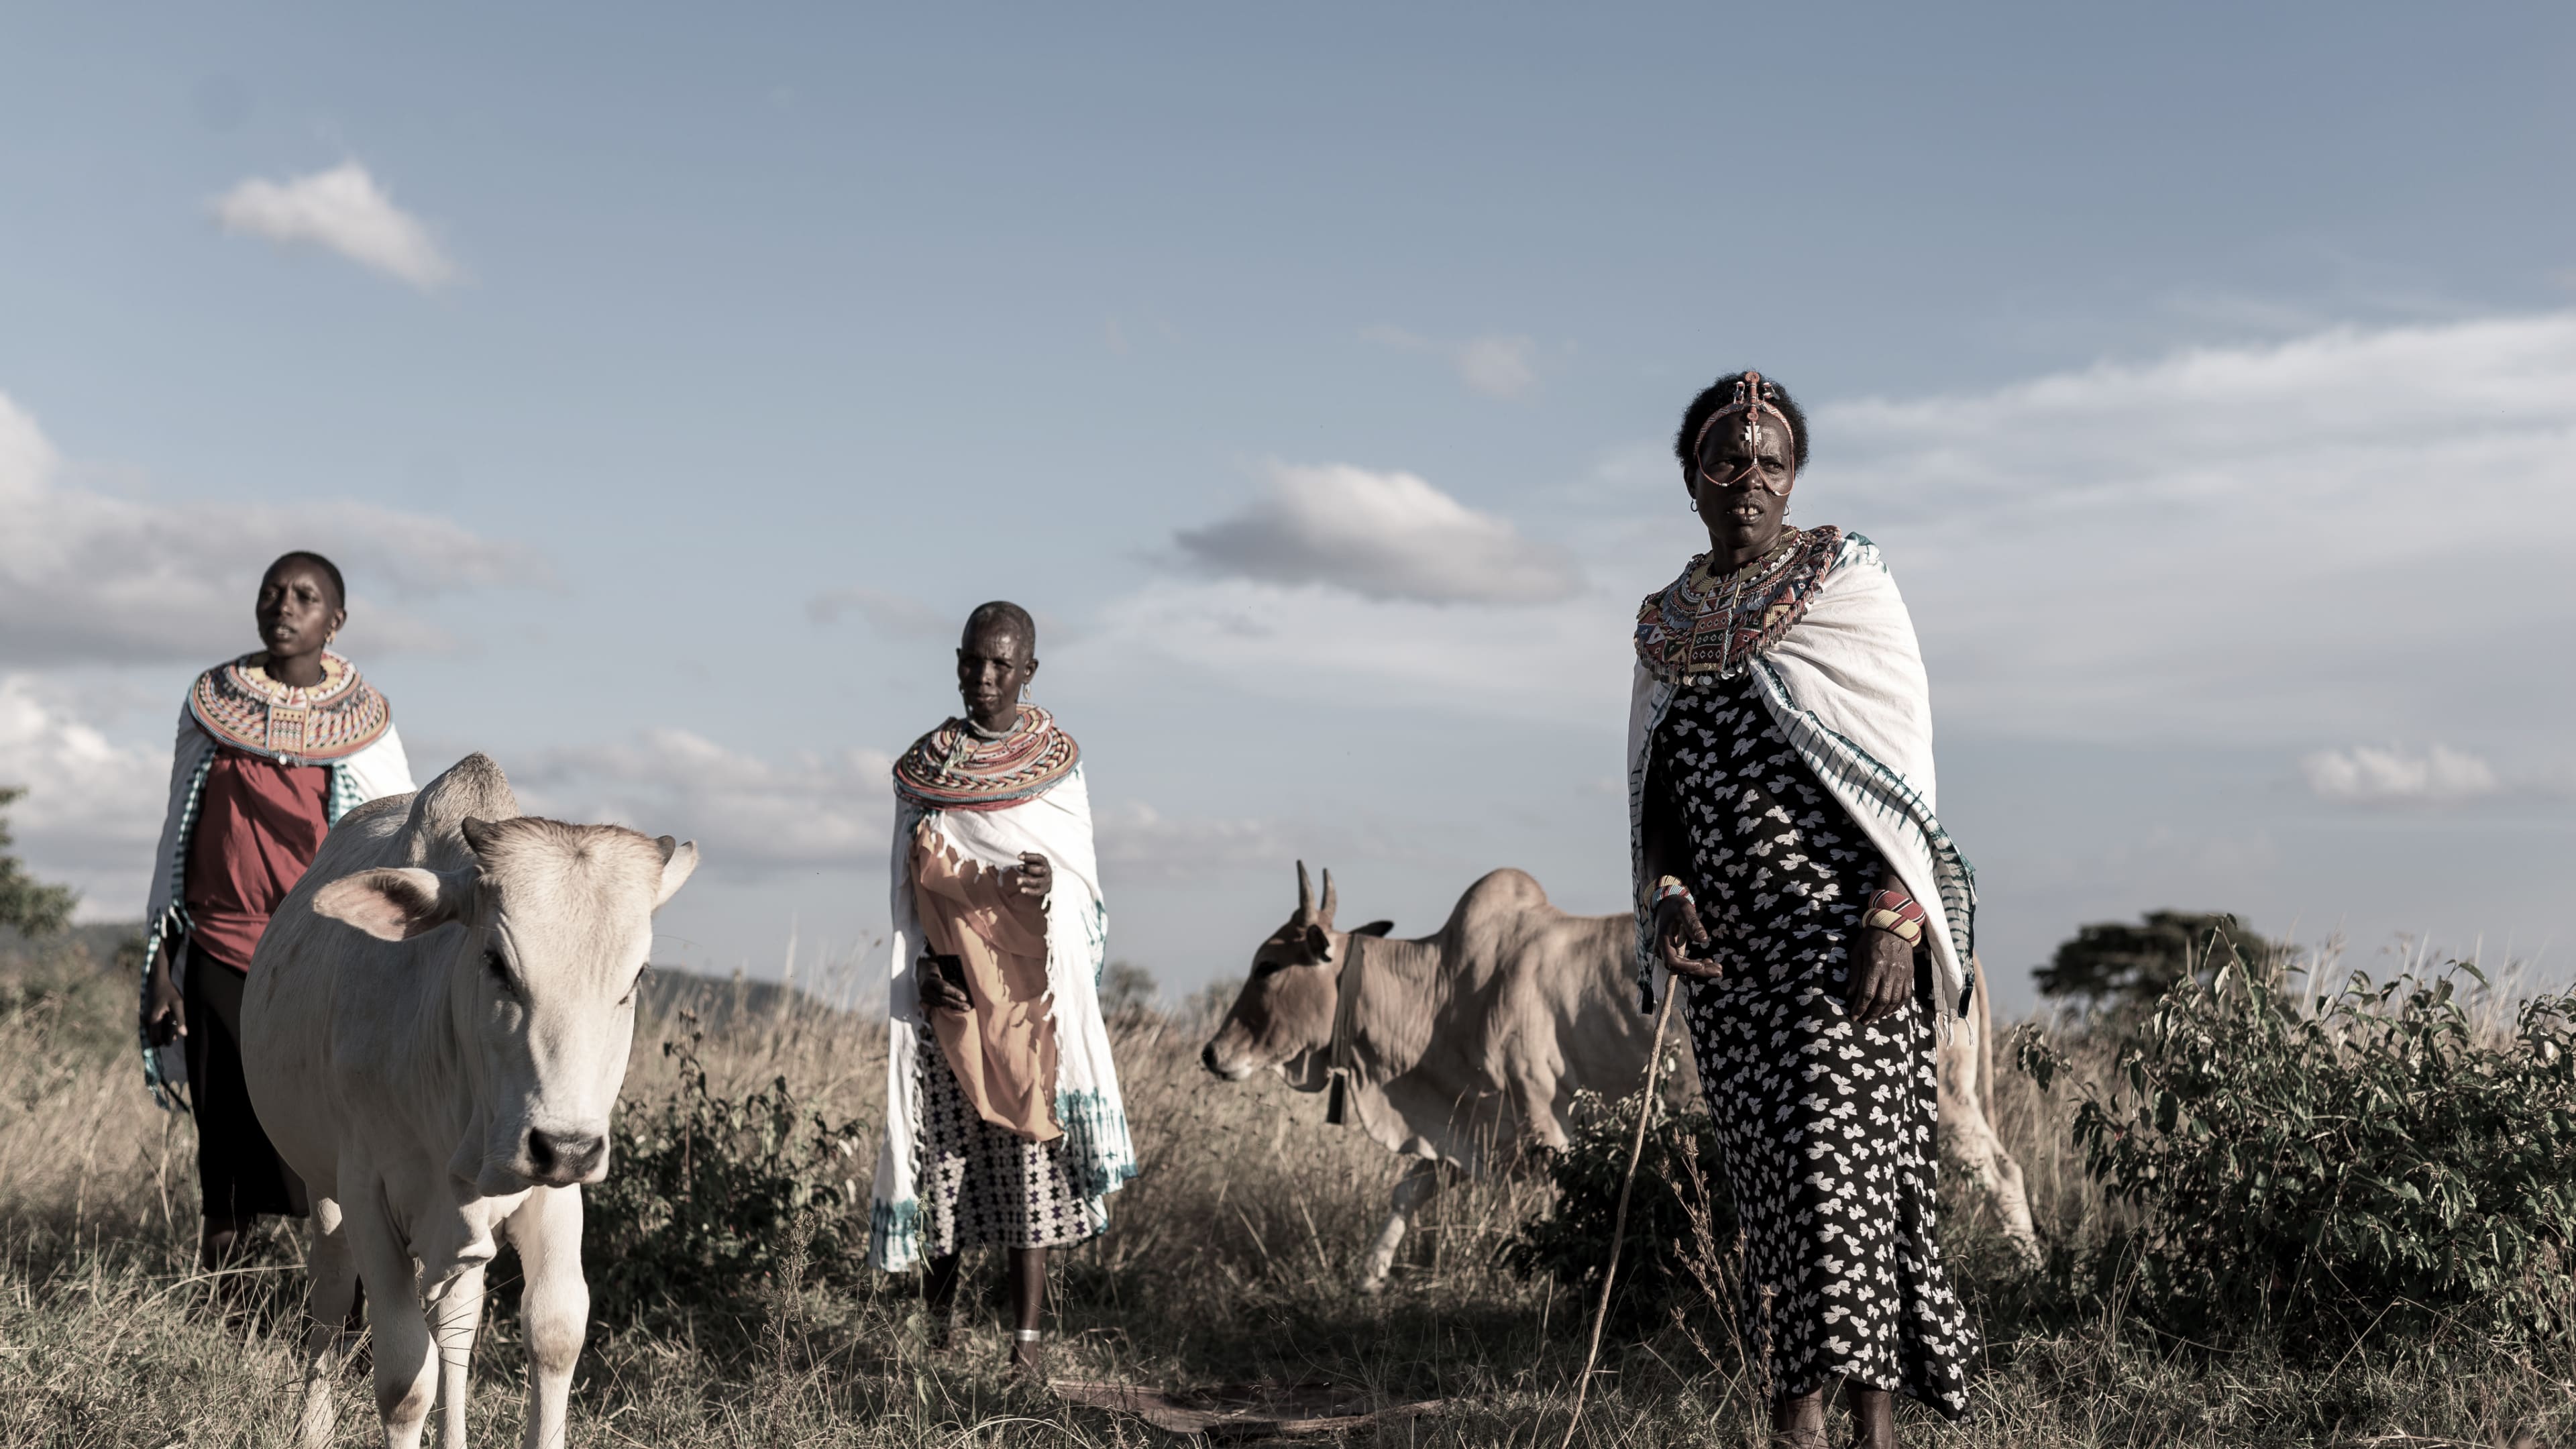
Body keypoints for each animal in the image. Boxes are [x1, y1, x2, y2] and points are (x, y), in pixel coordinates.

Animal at [243, 747, 695, 1444]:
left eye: (635, 978)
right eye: (496, 962)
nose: (564, 1147)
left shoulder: (553, 1195)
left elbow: (553, 1335)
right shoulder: (365, 1193)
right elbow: (404, 1381)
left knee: (457, 1320)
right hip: (323, 1190)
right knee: (332, 1292)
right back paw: (312, 1427)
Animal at [1200, 856, 2029, 1284]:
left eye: (1269, 965)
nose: (1213, 1054)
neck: (1445, 989)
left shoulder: (1542, 1119)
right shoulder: (1478, 1127)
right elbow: (1409, 1187)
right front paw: (1369, 1279)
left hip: (1947, 1098)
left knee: (2001, 1172)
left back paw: (2027, 1266)